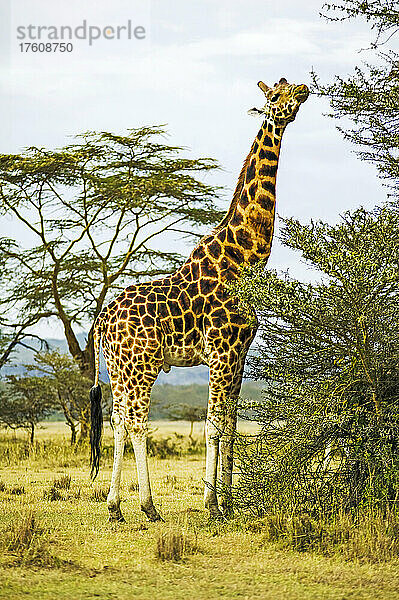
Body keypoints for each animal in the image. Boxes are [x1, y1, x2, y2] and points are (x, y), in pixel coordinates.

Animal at [90, 78, 310, 520]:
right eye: (276, 95)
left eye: (288, 86)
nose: (305, 89)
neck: (244, 259)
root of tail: (102, 319)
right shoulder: (222, 354)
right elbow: (212, 425)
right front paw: (211, 502)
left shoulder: (239, 355)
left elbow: (231, 425)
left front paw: (228, 501)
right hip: (142, 366)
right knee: (136, 422)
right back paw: (148, 506)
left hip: (119, 367)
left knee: (118, 420)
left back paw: (115, 506)